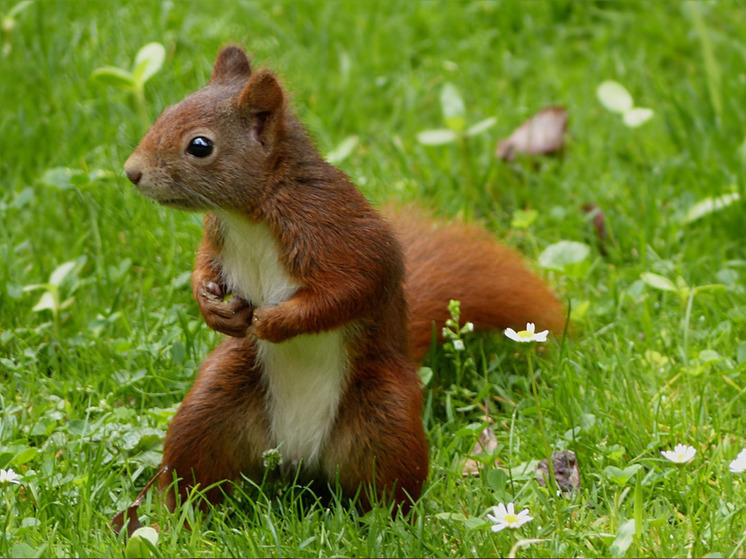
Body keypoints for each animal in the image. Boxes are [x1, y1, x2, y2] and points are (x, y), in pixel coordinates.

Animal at [123, 46, 564, 516]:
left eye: (200, 146)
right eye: (166, 112)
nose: (131, 172)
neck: (250, 215)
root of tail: (297, 456)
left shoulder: (334, 229)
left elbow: (352, 288)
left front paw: (276, 322)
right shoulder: (218, 235)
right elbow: (205, 266)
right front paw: (210, 304)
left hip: (386, 419)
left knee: (389, 489)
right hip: (214, 405)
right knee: (195, 470)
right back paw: (174, 517)